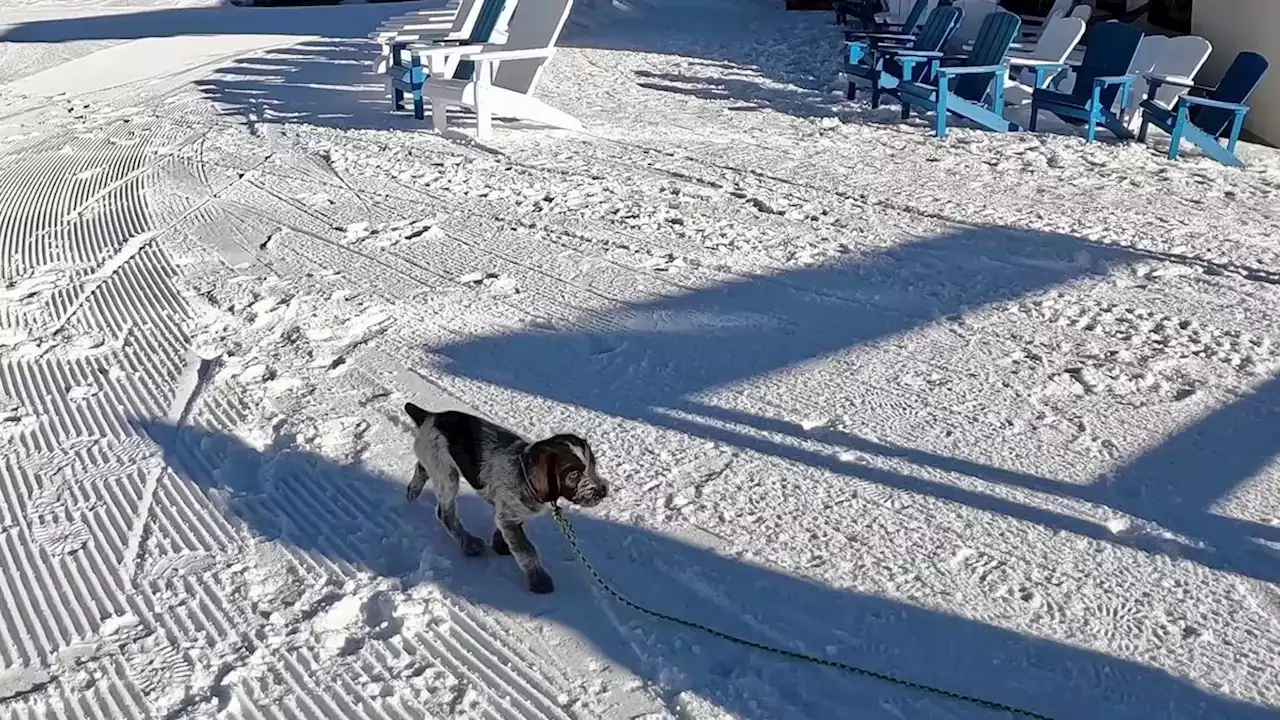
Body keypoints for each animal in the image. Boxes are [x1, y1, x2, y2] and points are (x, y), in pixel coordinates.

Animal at [407, 399, 611, 591]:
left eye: (592, 467)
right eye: (574, 474)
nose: (602, 491)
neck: (522, 472)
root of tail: (430, 416)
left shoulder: (509, 513)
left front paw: (501, 544)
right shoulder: (507, 515)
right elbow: (527, 551)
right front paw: (539, 580)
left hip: (438, 466)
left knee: (421, 468)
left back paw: (413, 490)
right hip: (447, 474)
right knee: (445, 513)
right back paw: (469, 544)